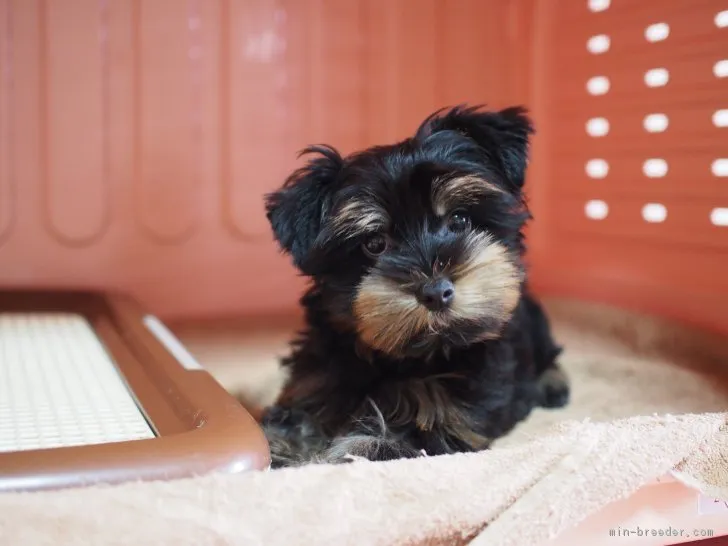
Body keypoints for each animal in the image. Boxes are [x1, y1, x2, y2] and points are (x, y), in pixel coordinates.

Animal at [260, 104, 568, 466]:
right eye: (375, 244)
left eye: (460, 220)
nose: (436, 292)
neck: (401, 357)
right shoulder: (315, 382)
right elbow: (295, 420)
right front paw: (281, 448)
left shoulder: (441, 420)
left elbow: (375, 445)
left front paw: (327, 459)